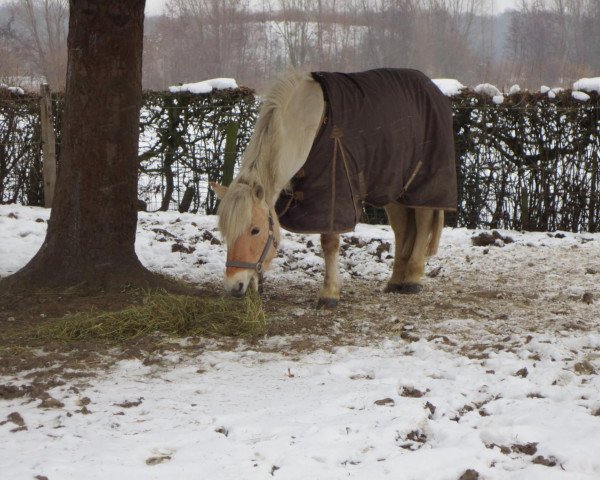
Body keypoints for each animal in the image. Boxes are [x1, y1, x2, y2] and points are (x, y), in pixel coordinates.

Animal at [211, 67, 454, 308]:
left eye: (255, 230)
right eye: (226, 232)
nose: (234, 286)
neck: (307, 124)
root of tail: (432, 88)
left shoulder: (333, 193)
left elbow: (329, 243)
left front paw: (329, 294)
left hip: (422, 185)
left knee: (422, 223)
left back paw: (412, 279)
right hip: (393, 189)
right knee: (402, 228)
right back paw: (395, 281)